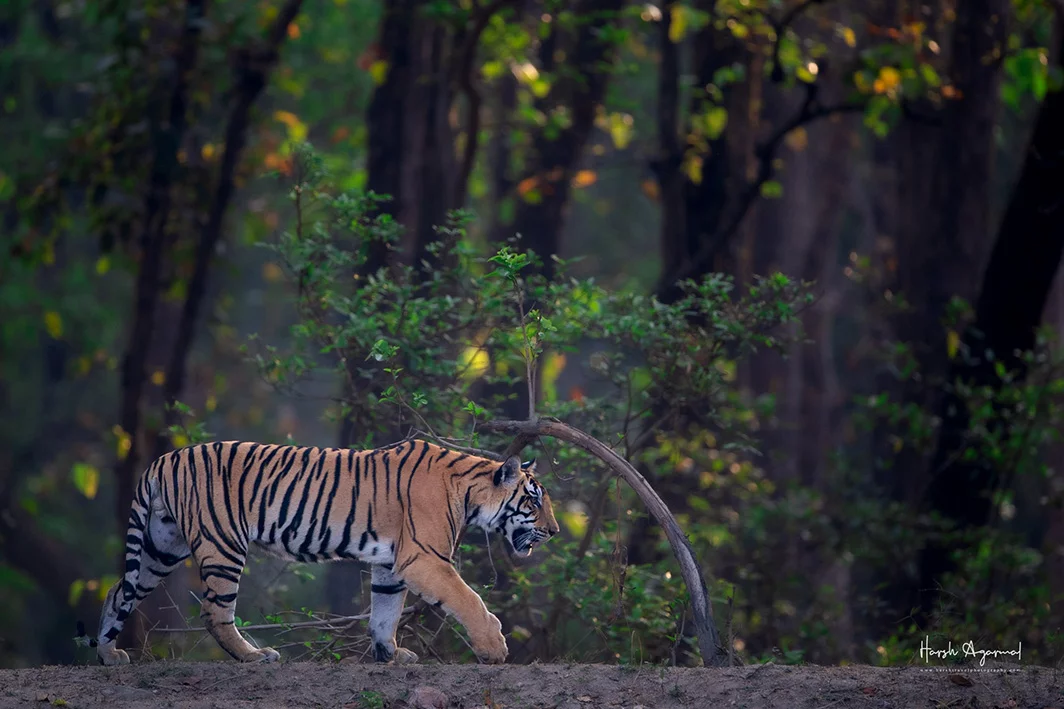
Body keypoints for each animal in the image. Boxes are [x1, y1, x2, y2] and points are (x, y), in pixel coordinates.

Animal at [91, 439, 559, 666]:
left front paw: (390, 655)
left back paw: (109, 655)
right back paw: (254, 657)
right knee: (215, 612)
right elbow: (468, 600)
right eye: (533, 501)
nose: (554, 531)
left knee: (117, 593)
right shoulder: (424, 557)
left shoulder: (392, 563)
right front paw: (494, 648)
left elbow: (384, 613)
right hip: (222, 545)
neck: (469, 493)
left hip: (160, 546)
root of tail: (162, 460)